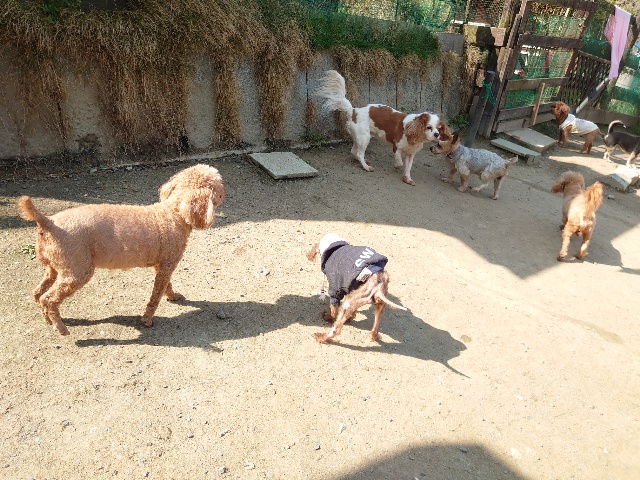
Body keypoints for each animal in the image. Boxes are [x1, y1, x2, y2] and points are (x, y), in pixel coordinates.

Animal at [17, 164, 225, 336]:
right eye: (218, 187)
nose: (225, 192)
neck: (174, 213)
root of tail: (48, 222)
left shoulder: (161, 265)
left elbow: (167, 286)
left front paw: (173, 296)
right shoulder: (167, 265)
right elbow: (155, 296)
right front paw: (147, 320)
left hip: (55, 268)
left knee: (38, 293)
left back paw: (48, 320)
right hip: (77, 271)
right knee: (48, 298)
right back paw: (61, 328)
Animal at [315, 69, 446, 186]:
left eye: (438, 128)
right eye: (428, 127)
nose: (436, 135)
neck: (414, 134)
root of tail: (353, 110)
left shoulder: (410, 154)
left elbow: (408, 167)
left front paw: (407, 179)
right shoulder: (396, 146)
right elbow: (399, 161)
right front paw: (397, 165)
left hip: (360, 137)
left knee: (354, 151)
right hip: (364, 137)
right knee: (359, 153)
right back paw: (366, 167)